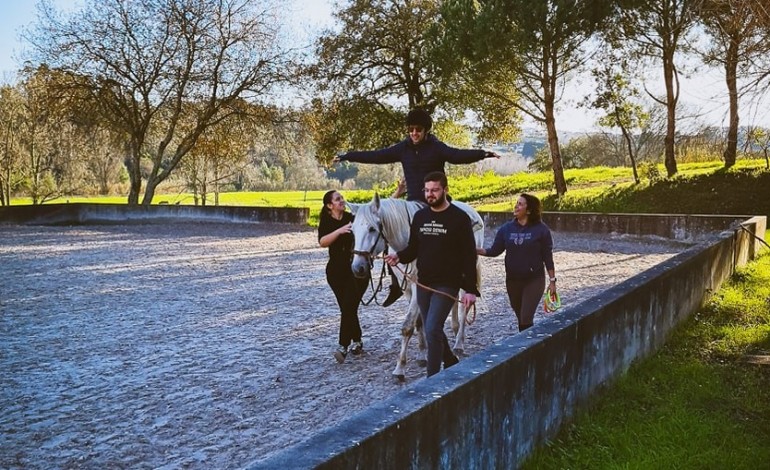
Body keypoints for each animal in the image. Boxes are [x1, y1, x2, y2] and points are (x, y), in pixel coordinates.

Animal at [346, 195, 484, 382]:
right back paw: (455, 331)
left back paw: (459, 342)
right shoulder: (408, 289)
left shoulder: (419, 285)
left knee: (465, 306)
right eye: (352, 231)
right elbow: (419, 321)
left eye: (372, 229)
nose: (357, 268)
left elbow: (407, 326)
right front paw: (422, 354)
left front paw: (400, 368)